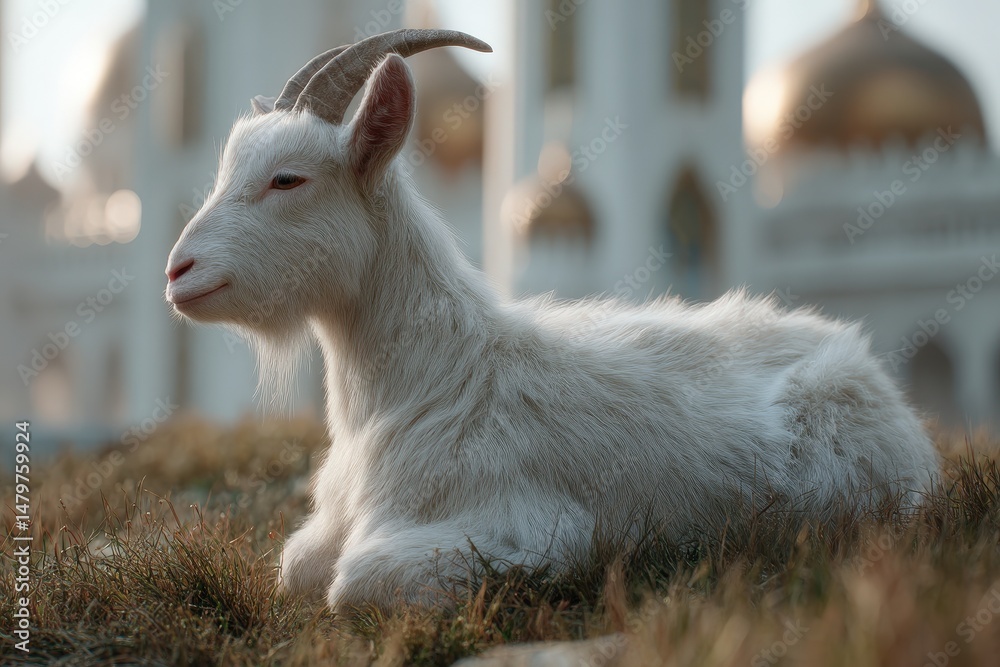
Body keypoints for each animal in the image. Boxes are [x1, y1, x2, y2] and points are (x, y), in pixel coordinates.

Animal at [165, 29, 940, 611]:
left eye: (287, 178)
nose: (178, 271)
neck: (432, 378)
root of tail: (867, 366)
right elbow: (296, 566)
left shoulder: (523, 521)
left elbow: (353, 582)